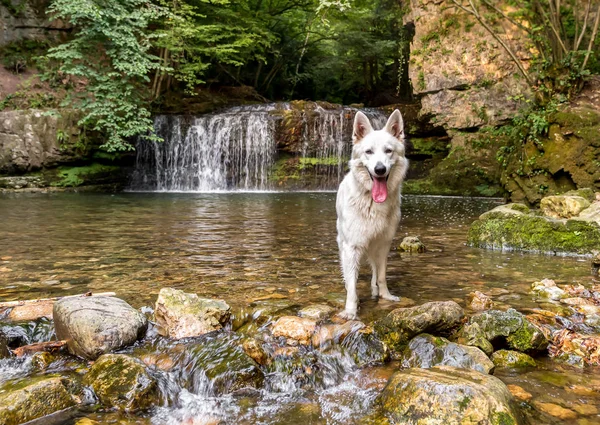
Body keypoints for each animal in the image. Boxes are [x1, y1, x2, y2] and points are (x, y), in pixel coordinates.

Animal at [338, 109, 408, 318]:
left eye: (388, 151)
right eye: (368, 152)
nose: (380, 169)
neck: (372, 202)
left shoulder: (384, 243)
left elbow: (382, 274)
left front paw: (385, 295)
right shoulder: (352, 246)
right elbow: (352, 282)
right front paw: (351, 310)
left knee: (375, 270)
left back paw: (376, 290)